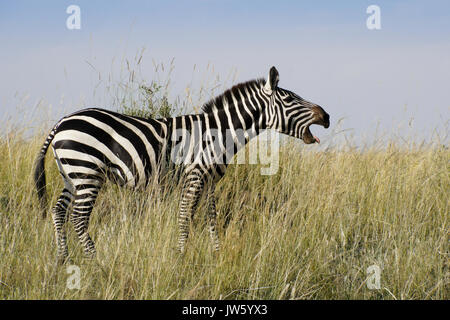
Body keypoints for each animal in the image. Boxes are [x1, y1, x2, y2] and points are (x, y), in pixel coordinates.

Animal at [33, 65, 330, 262]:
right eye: (290, 99)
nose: (326, 116)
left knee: (59, 212)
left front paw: (216, 255)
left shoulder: (210, 181)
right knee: (78, 217)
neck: (219, 134)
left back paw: (63, 259)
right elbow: (185, 216)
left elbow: (211, 218)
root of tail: (62, 122)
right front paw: (180, 256)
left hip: (71, 175)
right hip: (87, 172)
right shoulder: (195, 174)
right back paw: (96, 262)